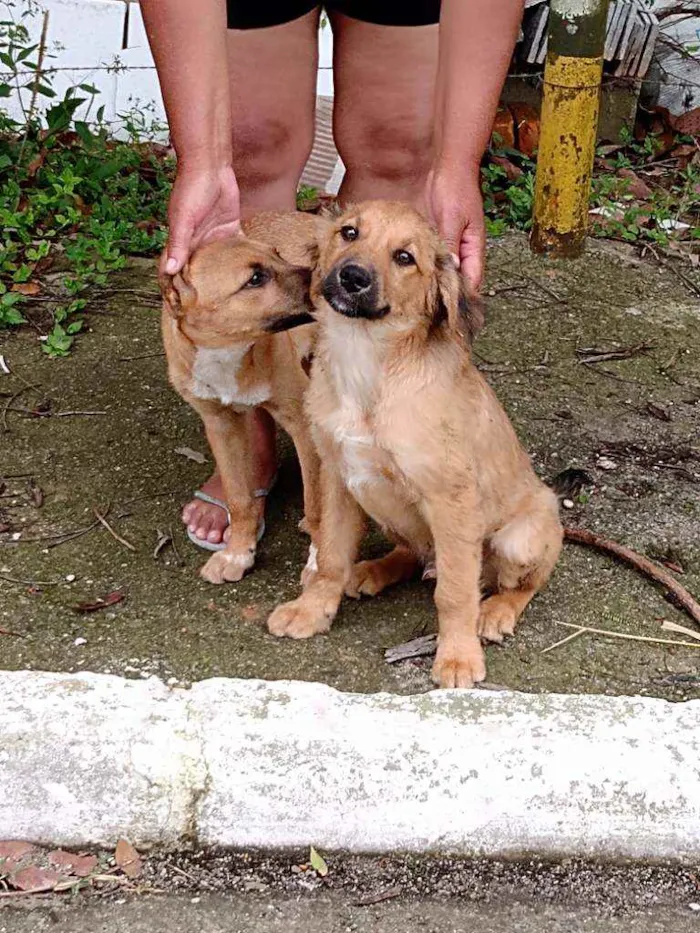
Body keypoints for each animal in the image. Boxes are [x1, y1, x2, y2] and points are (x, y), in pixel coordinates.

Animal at [163, 211, 330, 584]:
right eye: (255, 279)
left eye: (278, 254)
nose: (327, 278)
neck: (229, 351)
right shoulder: (221, 426)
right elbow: (239, 499)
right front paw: (238, 553)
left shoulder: (302, 426)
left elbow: (314, 504)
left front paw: (318, 563)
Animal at [266, 200, 564, 688]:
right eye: (349, 233)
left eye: (404, 257)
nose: (352, 277)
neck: (367, 362)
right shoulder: (338, 476)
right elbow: (330, 556)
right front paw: (312, 610)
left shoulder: (450, 499)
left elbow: (455, 592)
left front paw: (458, 656)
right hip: (382, 507)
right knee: (410, 551)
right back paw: (371, 570)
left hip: (522, 535)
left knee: (523, 582)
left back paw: (496, 612)